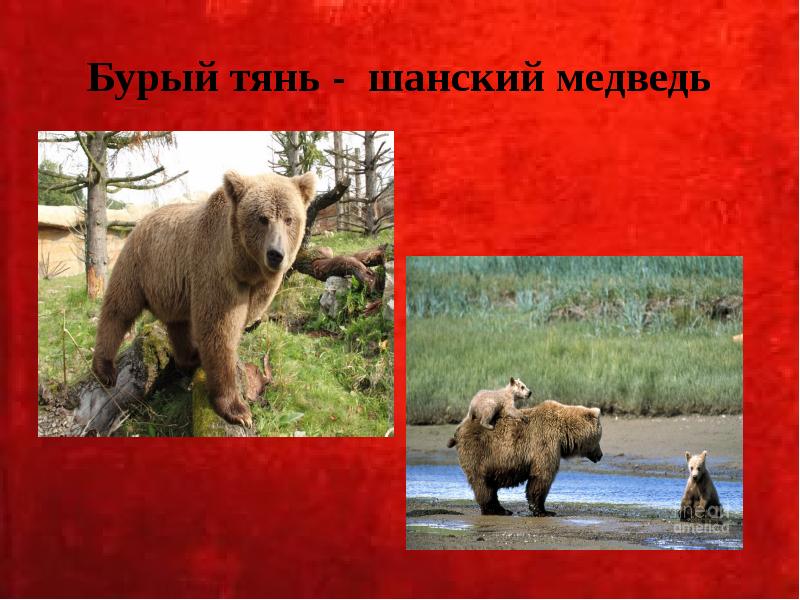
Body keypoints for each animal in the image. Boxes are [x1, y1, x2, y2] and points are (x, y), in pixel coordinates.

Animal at [91, 170, 316, 428]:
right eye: (262, 218)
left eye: (289, 219)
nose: (276, 254)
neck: (245, 267)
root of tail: (142, 220)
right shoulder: (216, 271)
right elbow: (218, 330)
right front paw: (238, 410)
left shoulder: (257, 288)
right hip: (138, 263)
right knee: (119, 308)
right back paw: (105, 369)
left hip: (170, 286)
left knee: (177, 323)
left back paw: (188, 358)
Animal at [447, 400, 603, 516]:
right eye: (599, 437)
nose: (600, 455)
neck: (563, 432)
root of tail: (459, 429)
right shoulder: (545, 442)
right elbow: (542, 476)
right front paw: (544, 511)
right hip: (480, 451)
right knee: (483, 484)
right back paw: (497, 510)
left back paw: (502, 509)